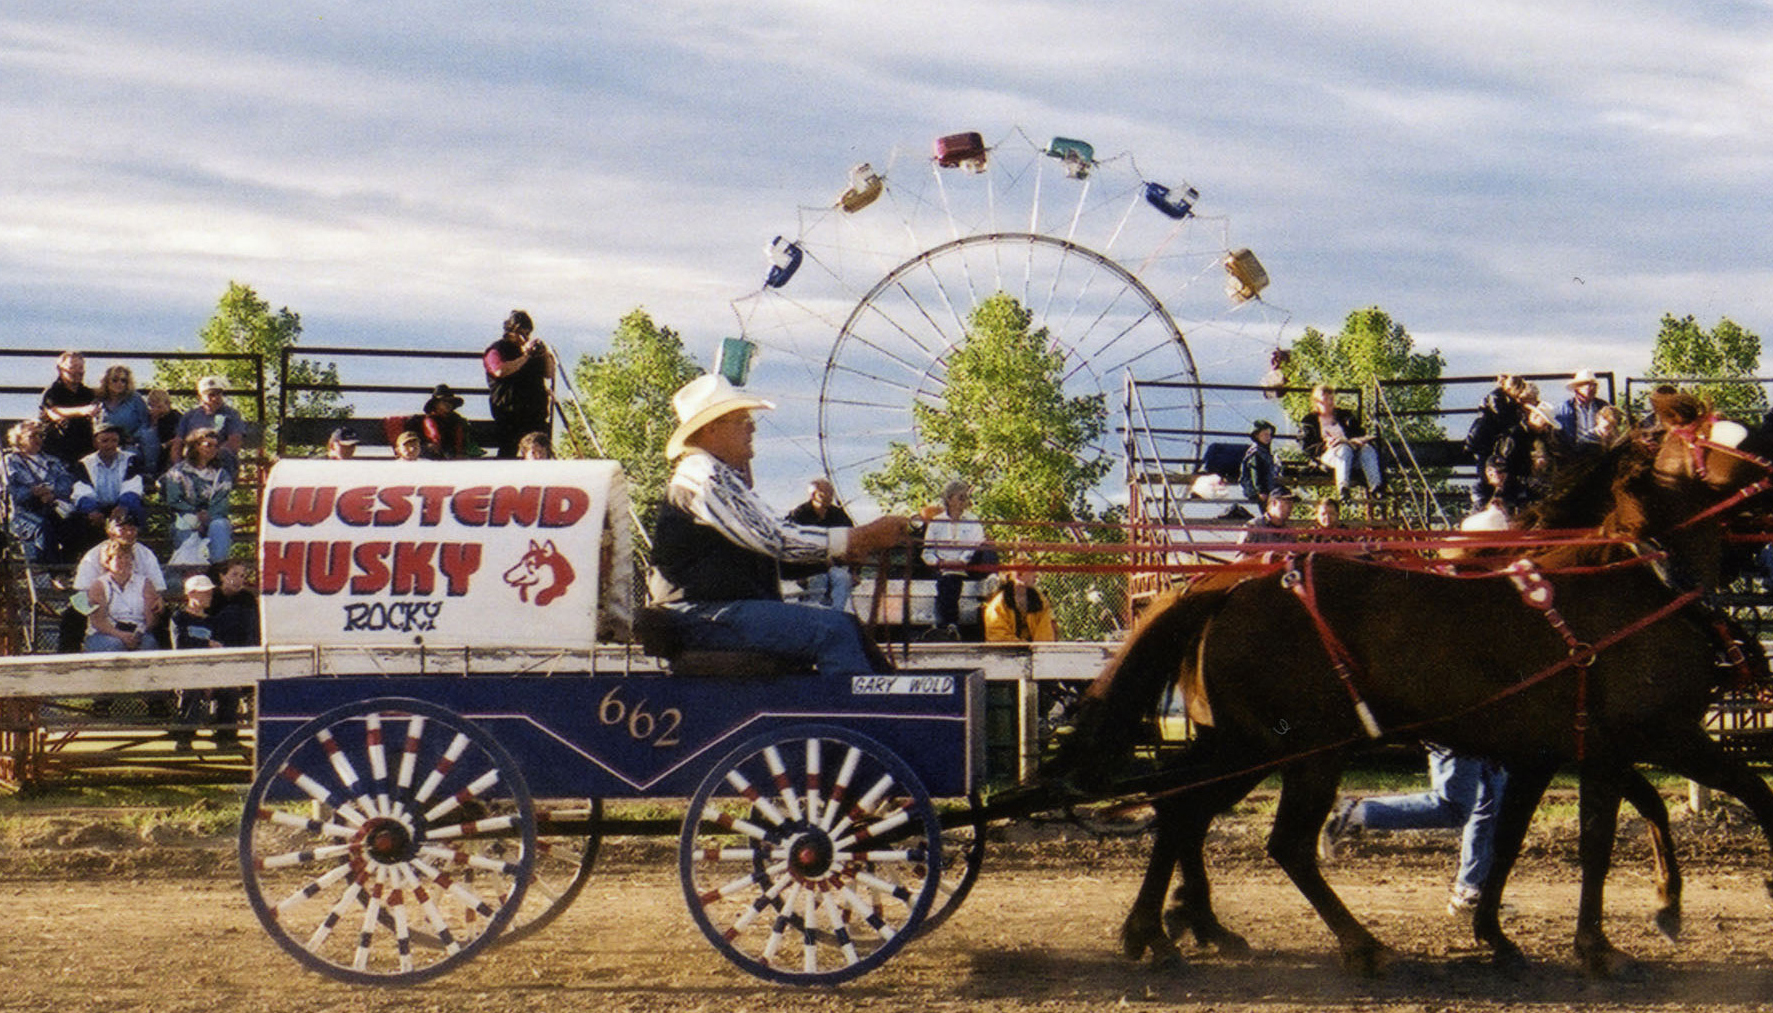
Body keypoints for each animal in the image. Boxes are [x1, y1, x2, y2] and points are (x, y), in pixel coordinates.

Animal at [1052, 390, 1773, 976]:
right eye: (1742, 433)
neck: (1633, 581)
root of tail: (1224, 585)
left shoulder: (1551, 753)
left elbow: (1516, 837)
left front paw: (1503, 933)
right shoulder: (1643, 740)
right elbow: (1647, 824)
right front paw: (1607, 942)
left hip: (1241, 744)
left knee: (1183, 810)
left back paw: (1164, 928)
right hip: (1297, 749)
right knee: (1278, 841)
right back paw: (1358, 944)